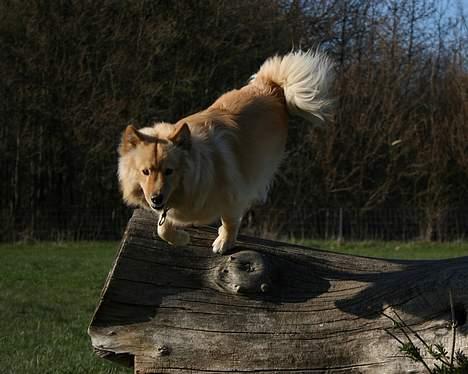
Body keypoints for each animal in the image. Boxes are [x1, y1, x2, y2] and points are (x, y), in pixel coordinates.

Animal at [119, 49, 334, 254]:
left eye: (169, 171)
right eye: (145, 172)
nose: (156, 198)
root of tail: (270, 87)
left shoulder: (234, 194)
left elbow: (230, 220)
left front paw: (224, 242)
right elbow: (161, 228)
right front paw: (181, 238)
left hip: (259, 167)